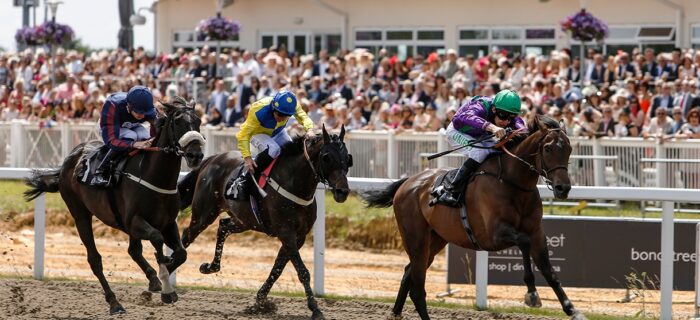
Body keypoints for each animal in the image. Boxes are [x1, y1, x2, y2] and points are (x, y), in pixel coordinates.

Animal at [23, 97, 205, 316]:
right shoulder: (134, 221)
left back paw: (151, 280)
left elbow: (181, 253)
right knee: (95, 259)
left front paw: (158, 282)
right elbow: (157, 239)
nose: (196, 155)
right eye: (177, 122)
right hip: (80, 214)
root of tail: (69, 159)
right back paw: (114, 303)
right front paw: (166, 287)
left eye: (198, 121)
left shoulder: (168, 223)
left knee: (133, 250)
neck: (155, 176)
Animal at [178, 125, 352, 320]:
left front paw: (260, 302)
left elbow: (277, 269)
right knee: (187, 235)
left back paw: (210, 266)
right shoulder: (286, 232)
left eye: (347, 157)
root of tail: (210, 159)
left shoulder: (298, 236)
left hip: (244, 220)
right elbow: (302, 272)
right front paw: (315, 309)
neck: (295, 184)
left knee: (222, 226)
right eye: (326, 157)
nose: (342, 191)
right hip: (204, 214)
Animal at [364, 116, 588, 320]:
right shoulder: (494, 235)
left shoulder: (537, 233)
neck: (513, 183)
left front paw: (571, 309)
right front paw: (532, 294)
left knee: (409, 272)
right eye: (548, 149)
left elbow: (549, 271)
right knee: (417, 288)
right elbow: (523, 242)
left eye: (569, 149)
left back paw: (395, 313)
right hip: (416, 238)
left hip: (436, 239)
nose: (563, 188)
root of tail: (407, 182)